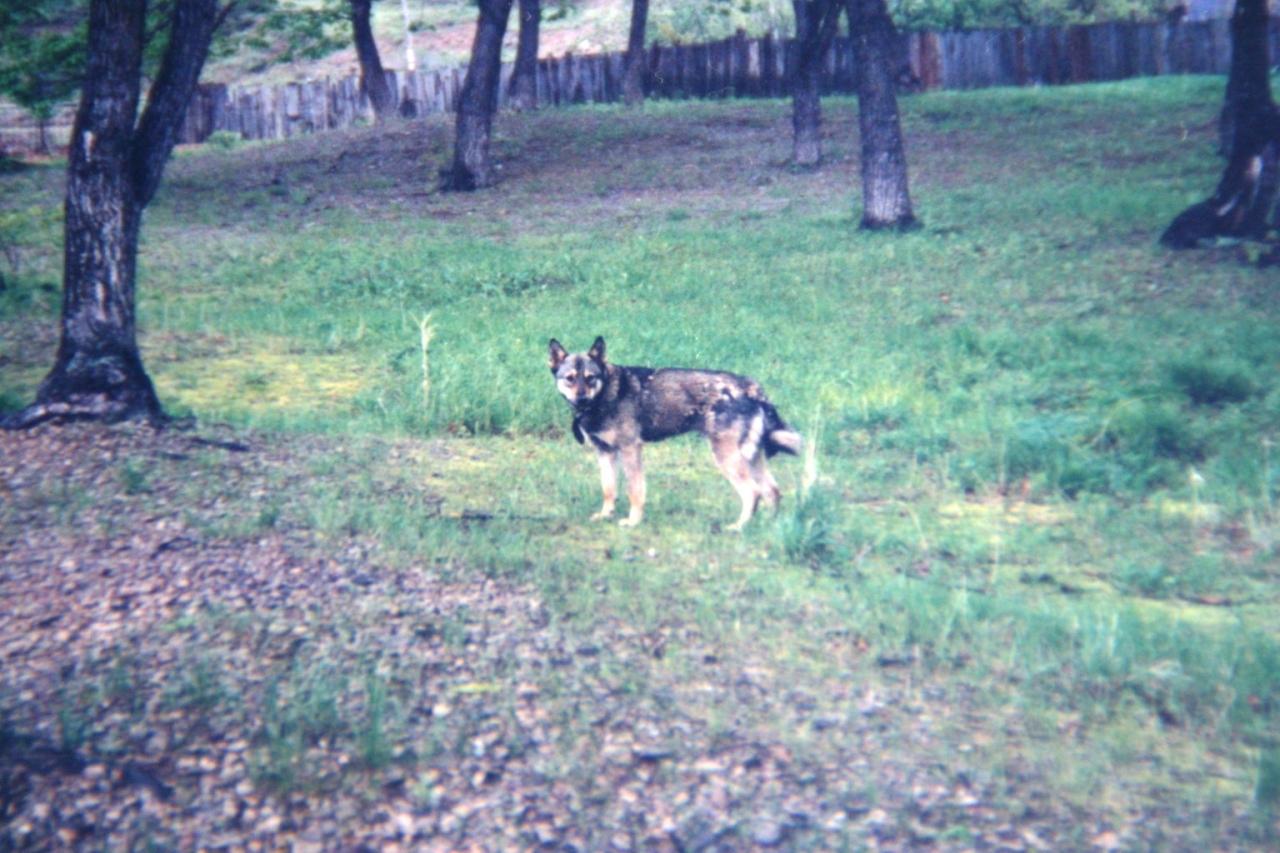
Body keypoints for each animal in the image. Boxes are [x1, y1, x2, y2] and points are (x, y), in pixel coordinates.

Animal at [548, 336, 801, 530]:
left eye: (590, 378)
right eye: (570, 379)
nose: (581, 399)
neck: (608, 394)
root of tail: (751, 388)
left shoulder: (631, 450)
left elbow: (634, 491)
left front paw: (633, 521)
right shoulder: (605, 453)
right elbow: (608, 490)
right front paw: (606, 515)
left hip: (728, 459)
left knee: (753, 493)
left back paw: (739, 527)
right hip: (750, 458)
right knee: (772, 492)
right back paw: (768, 527)